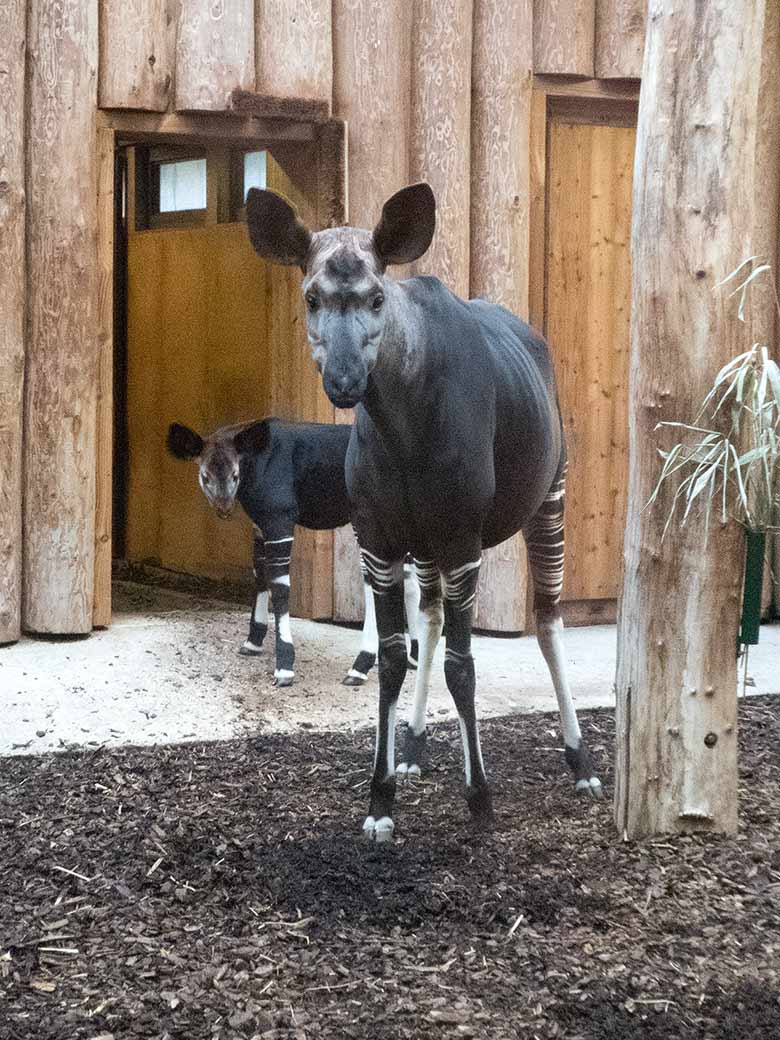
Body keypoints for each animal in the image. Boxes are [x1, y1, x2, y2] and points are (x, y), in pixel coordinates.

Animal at [166, 418, 422, 686]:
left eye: (235, 475)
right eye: (205, 477)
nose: (224, 508)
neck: (256, 463)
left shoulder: (280, 520)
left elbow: (280, 589)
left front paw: (285, 667)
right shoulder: (260, 525)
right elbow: (260, 575)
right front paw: (253, 642)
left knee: (377, 580)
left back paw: (360, 667)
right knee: (409, 582)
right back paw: (413, 658)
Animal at [248, 183, 603, 840]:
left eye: (376, 297)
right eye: (311, 298)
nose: (344, 381)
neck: (402, 425)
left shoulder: (462, 540)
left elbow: (464, 666)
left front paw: (480, 799)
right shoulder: (382, 541)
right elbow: (392, 659)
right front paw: (380, 800)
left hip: (550, 498)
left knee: (548, 619)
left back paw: (581, 762)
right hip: (429, 545)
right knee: (433, 620)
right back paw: (412, 748)